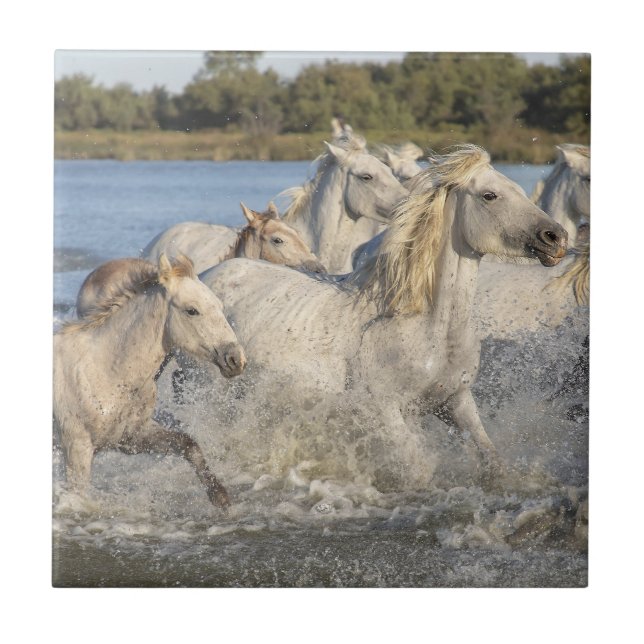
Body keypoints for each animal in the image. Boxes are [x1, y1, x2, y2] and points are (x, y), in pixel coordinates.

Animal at [54, 254, 246, 508]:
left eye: (220, 307)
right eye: (192, 310)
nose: (235, 359)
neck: (104, 369)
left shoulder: (132, 437)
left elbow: (188, 444)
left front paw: (220, 495)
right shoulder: (77, 447)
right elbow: (79, 496)